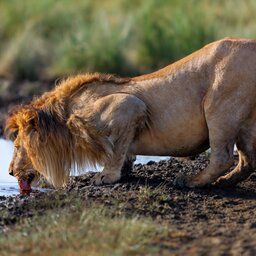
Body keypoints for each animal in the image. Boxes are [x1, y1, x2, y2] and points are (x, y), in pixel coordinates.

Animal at [4, 38, 256, 194]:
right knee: (247, 161)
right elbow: (122, 150)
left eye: (16, 146)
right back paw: (224, 183)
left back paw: (191, 181)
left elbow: (115, 149)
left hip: (220, 108)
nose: (9, 172)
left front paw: (107, 176)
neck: (63, 116)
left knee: (223, 157)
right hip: (245, 124)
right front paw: (124, 170)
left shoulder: (128, 105)